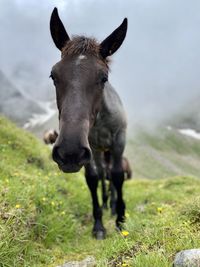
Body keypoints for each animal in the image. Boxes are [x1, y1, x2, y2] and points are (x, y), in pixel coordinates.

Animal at [50, 7, 128, 240]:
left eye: (104, 78)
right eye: (53, 76)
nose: (69, 152)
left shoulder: (119, 141)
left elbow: (118, 176)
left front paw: (120, 220)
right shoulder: (90, 147)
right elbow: (93, 178)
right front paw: (99, 225)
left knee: (111, 176)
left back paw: (113, 206)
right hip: (99, 152)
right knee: (103, 175)